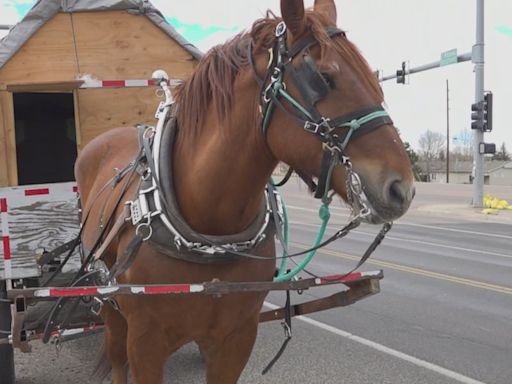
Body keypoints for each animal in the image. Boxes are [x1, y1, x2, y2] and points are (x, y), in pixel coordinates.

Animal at [75, 0, 416, 384]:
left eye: (374, 80)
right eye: (324, 78)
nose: (402, 188)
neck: (209, 231)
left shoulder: (236, 338)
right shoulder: (146, 342)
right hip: (109, 305)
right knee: (117, 359)